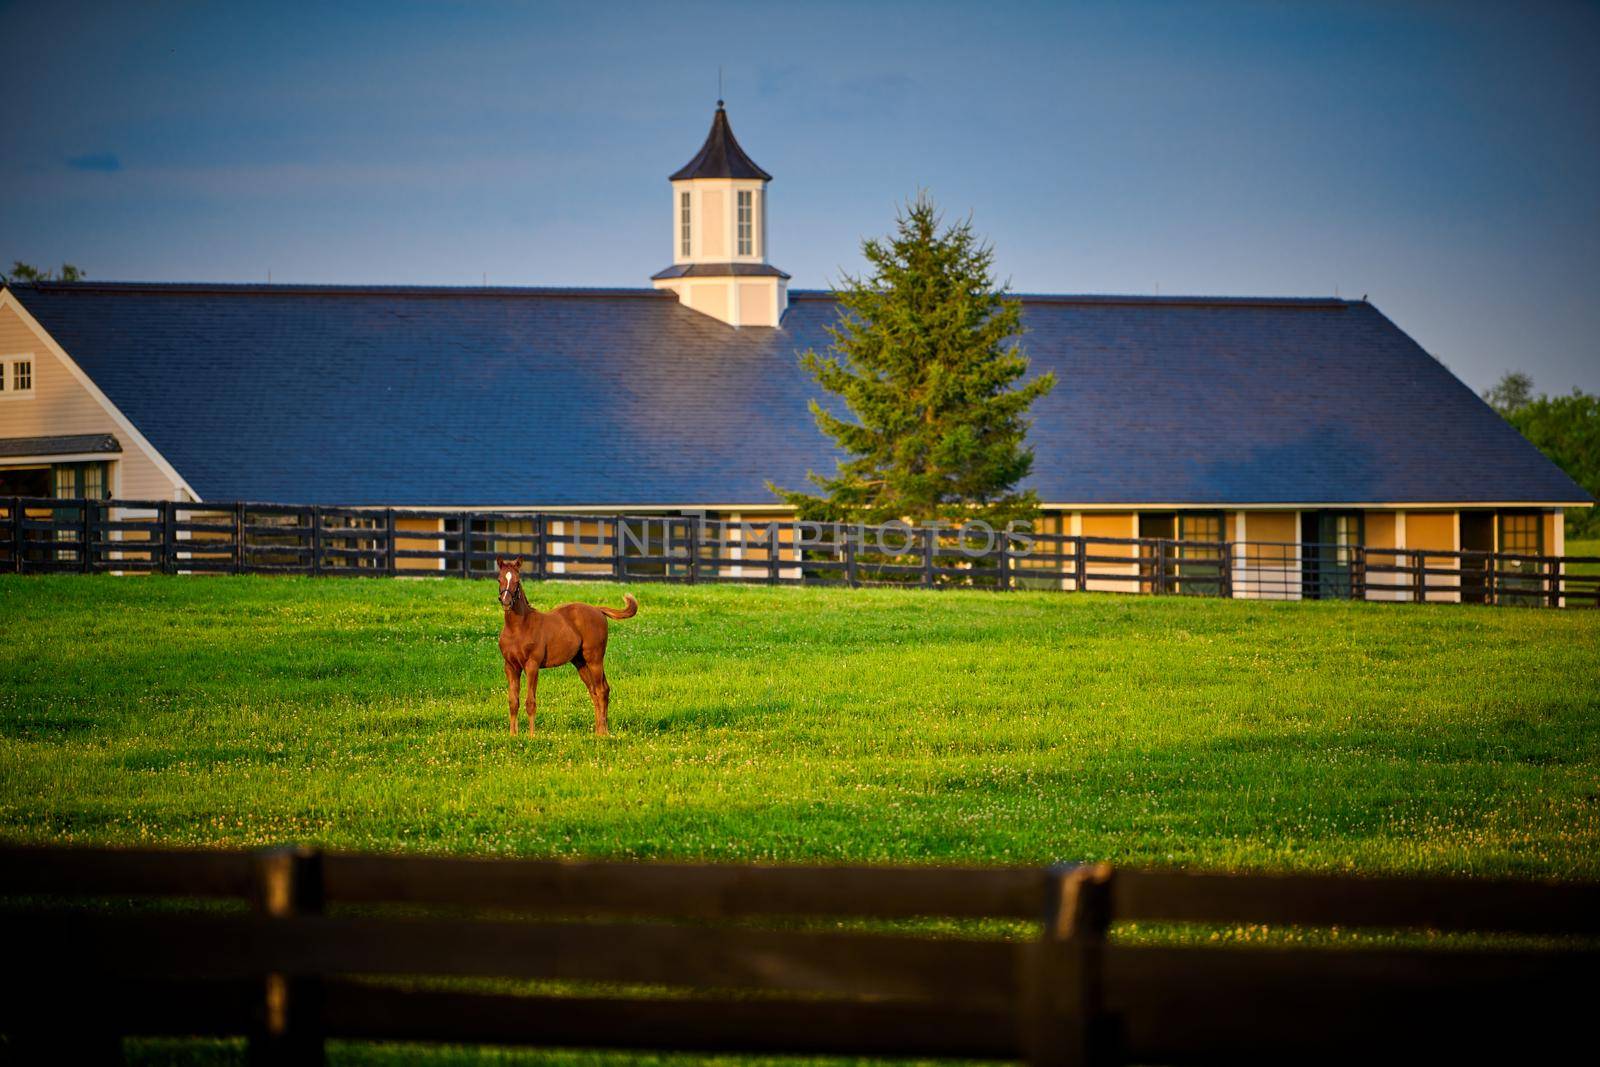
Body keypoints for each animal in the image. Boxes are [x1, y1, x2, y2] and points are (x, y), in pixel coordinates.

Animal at [492, 559, 636, 735]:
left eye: (517, 581)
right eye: (499, 579)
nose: (506, 601)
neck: (518, 627)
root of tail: (598, 610)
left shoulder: (532, 665)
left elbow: (530, 702)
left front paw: (532, 736)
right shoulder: (510, 667)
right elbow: (513, 702)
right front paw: (513, 735)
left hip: (594, 660)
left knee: (602, 690)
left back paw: (603, 733)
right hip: (580, 663)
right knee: (595, 691)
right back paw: (599, 731)